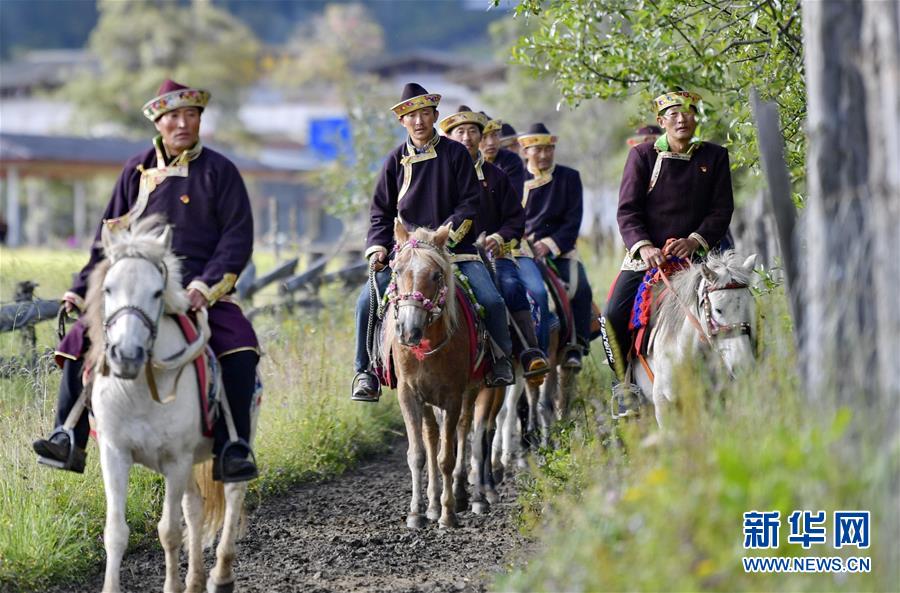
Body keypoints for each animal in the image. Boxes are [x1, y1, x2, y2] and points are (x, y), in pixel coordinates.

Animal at [84, 216, 255, 593]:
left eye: (157, 292)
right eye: (108, 289)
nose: (126, 356)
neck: (138, 391)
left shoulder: (176, 459)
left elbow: (169, 531)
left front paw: (173, 586)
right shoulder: (115, 453)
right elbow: (116, 532)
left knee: (233, 492)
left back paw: (221, 575)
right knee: (195, 506)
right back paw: (196, 580)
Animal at [384, 221, 482, 529]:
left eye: (436, 275)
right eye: (397, 271)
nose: (408, 331)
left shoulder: (452, 396)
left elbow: (446, 457)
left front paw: (448, 514)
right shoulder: (409, 395)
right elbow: (417, 454)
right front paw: (417, 512)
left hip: (471, 391)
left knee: (463, 429)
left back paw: (464, 497)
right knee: (431, 437)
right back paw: (432, 505)